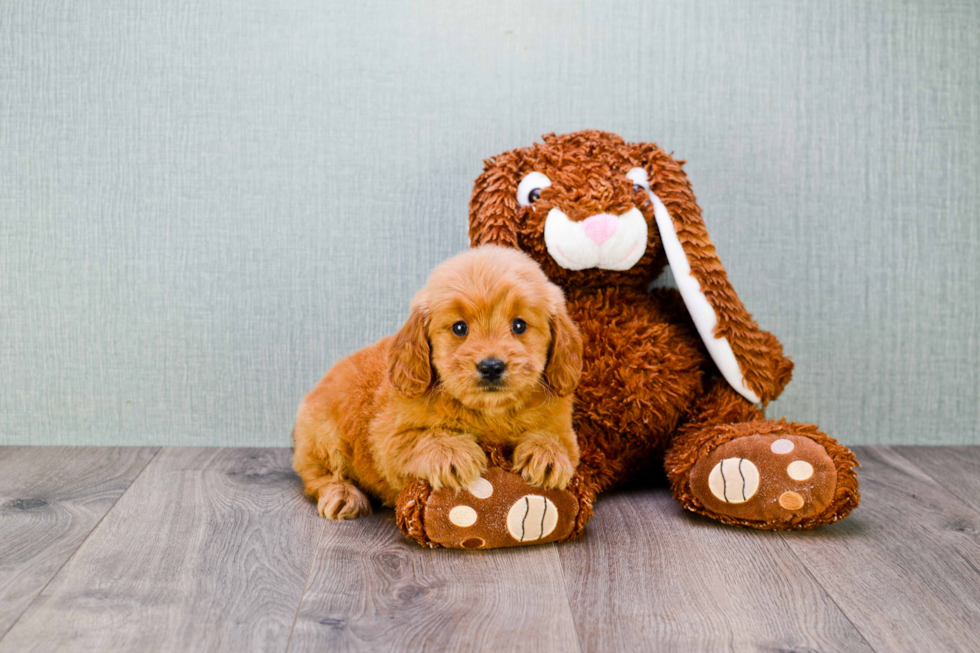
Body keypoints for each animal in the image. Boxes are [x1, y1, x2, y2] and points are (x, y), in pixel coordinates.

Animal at [290, 244, 580, 520]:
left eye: (519, 325)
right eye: (460, 328)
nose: (491, 366)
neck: (490, 413)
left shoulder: (567, 432)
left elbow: (557, 440)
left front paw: (547, 454)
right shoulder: (388, 439)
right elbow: (422, 438)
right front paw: (453, 452)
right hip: (325, 438)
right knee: (318, 476)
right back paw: (342, 494)